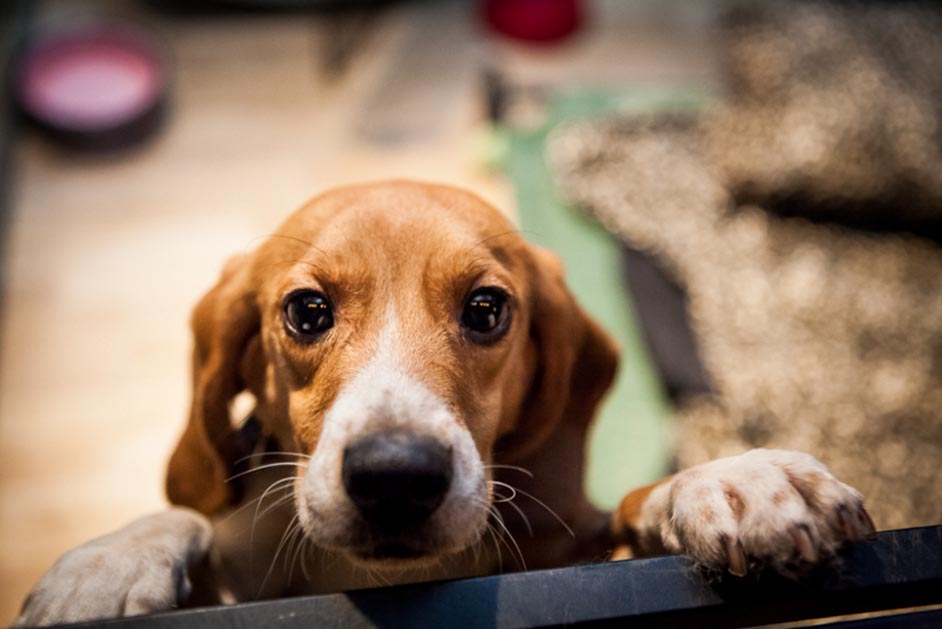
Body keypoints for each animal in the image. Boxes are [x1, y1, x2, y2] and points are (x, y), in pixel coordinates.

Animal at [16, 179, 876, 624]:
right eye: (307, 311)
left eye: (487, 309)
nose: (395, 474)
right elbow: (184, 515)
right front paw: (102, 569)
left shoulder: (576, 549)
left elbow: (638, 500)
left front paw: (738, 481)